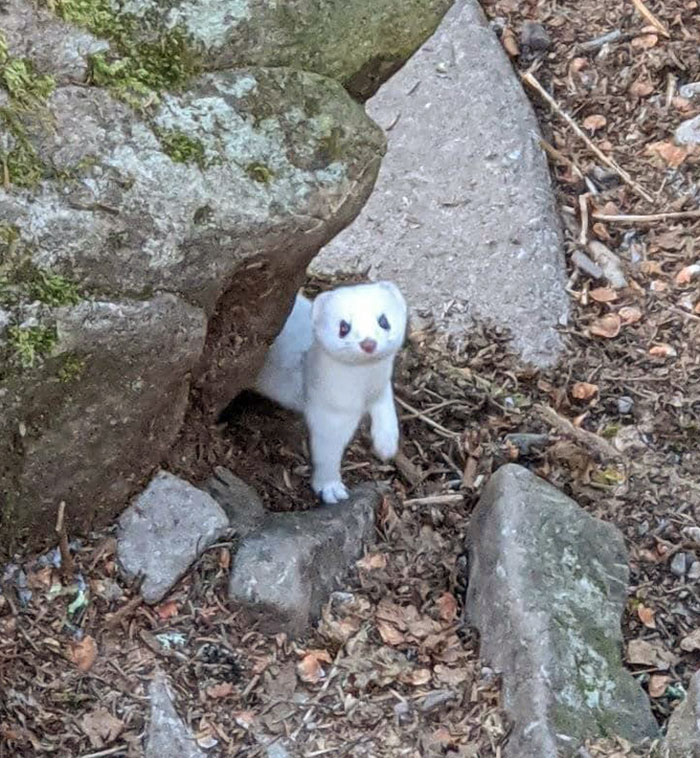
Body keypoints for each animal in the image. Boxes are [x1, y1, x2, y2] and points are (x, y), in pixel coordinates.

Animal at [254, 282, 408, 502]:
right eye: (343, 326)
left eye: (383, 320)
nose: (368, 343)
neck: (363, 390)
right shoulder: (329, 411)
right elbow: (327, 454)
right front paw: (330, 487)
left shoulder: (381, 386)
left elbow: (386, 406)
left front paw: (386, 442)